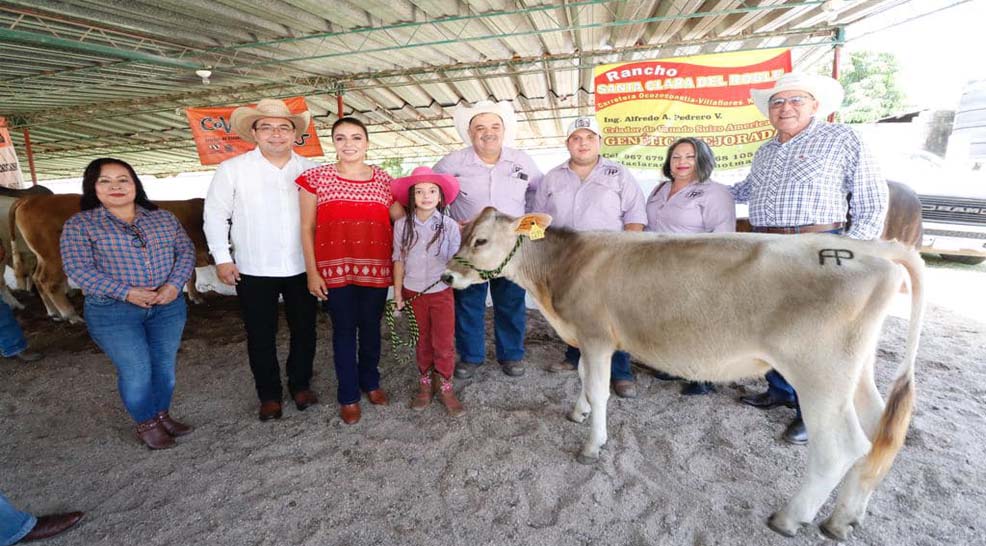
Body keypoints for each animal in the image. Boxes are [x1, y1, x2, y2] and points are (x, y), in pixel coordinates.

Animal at [9, 193, 212, 320]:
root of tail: (33, 198)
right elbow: (190, 277)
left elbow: (190, 277)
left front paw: (194, 297)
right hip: (54, 256)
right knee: (48, 282)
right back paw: (70, 315)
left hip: (42, 256)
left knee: (37, 278)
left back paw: (54, 313)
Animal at [444, 206, 924, 536]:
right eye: (462, 233)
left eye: (481, 240)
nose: (448, 277)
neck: (558, 273)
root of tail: (872, 251)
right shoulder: (586, 336)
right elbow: (581, 377)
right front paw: (578, 412)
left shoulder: (596, 334)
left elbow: (598, 387)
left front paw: (592, 443)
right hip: (853, 371)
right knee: (879, 434)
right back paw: (844, 518)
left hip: (818, 372)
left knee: (840, 447)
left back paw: (789, 518)